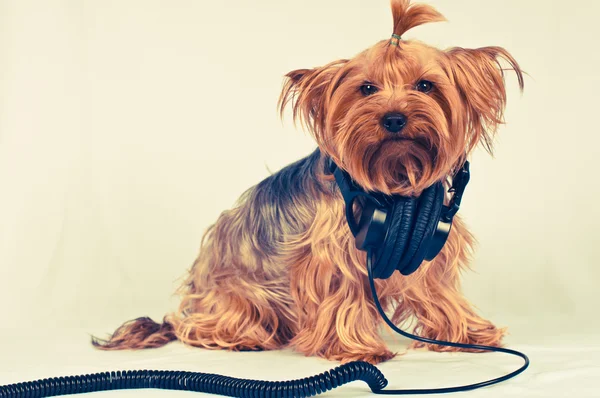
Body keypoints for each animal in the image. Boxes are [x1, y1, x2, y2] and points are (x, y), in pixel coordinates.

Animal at [91, 0, 524, 364]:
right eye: (367, 89)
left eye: (425, 86)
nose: (394, 118)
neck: (395, 179)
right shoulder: (333, 253)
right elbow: (342, 296)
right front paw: (356, 349)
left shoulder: (421, 247)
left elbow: (438, 291)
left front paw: (468, 335)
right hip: (240, 293)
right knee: (198, 327)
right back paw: (241, 337)